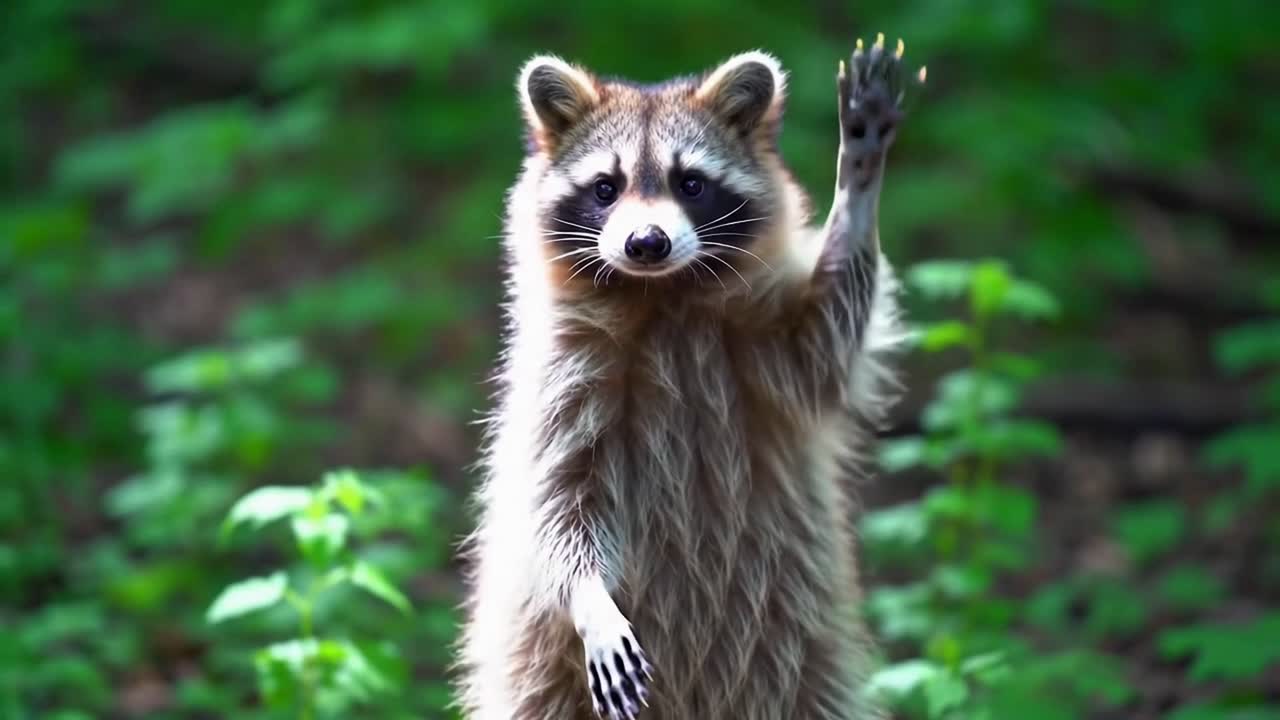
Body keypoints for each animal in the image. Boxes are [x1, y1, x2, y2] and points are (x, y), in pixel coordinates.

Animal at [455, 35, 920, 720]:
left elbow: (830, 336)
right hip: (538, 670)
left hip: (803, 655)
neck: (663, 294)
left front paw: (859, 182)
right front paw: (590, 600)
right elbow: (558, 505)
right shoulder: (562, 375)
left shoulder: (768, 350)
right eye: (606, 187)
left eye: (691, 183)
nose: (646, 242)